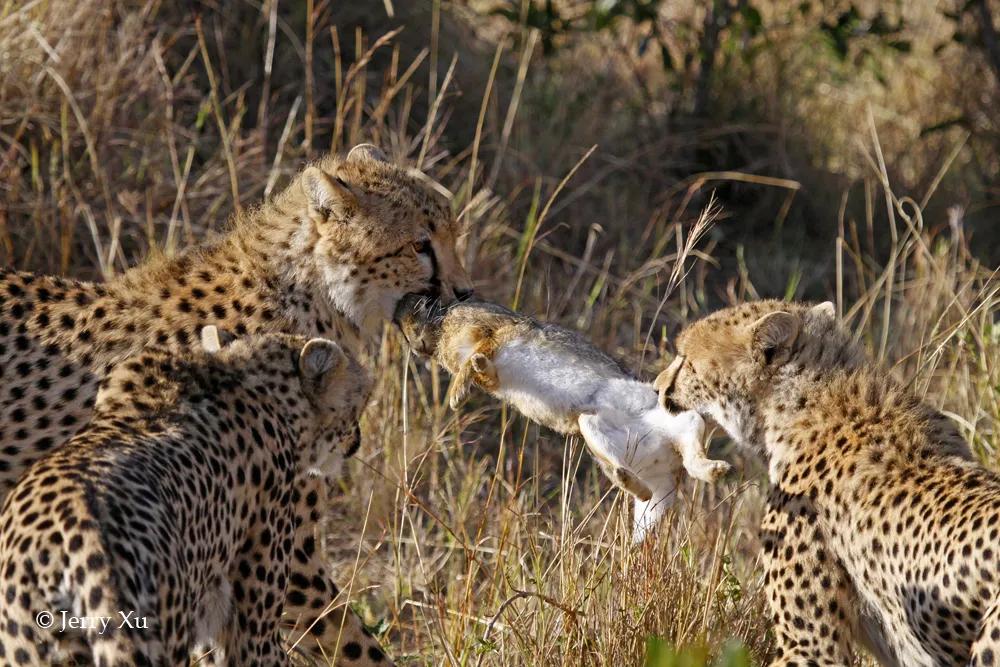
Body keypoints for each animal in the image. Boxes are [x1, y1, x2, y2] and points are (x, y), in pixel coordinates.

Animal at [394, 298, 732, 544]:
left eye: (417, 310)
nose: (412, 344)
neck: (442, 324)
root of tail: (667, 466)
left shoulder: (493, 330)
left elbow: (479, 354)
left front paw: (455, 393)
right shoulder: (493, 374)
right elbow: (483, 369)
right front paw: (463, 384)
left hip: (670, 422)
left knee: (688, 449)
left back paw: (714, 470)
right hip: (595, 428)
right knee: (647, 470)